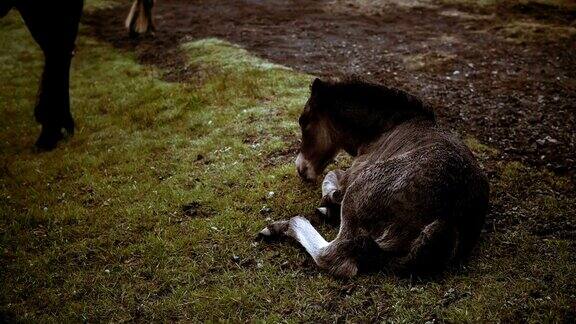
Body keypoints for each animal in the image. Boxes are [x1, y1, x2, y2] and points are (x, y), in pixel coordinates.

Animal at [260, 78, 490, 276]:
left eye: (303, 121)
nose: (300, 169)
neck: (387, 126)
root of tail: (450, 214)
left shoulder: (354, 173)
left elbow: (331, 175)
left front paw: (330, 201)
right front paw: (330, 205)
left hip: (356, 194)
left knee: (334, 257)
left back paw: (283, 226)